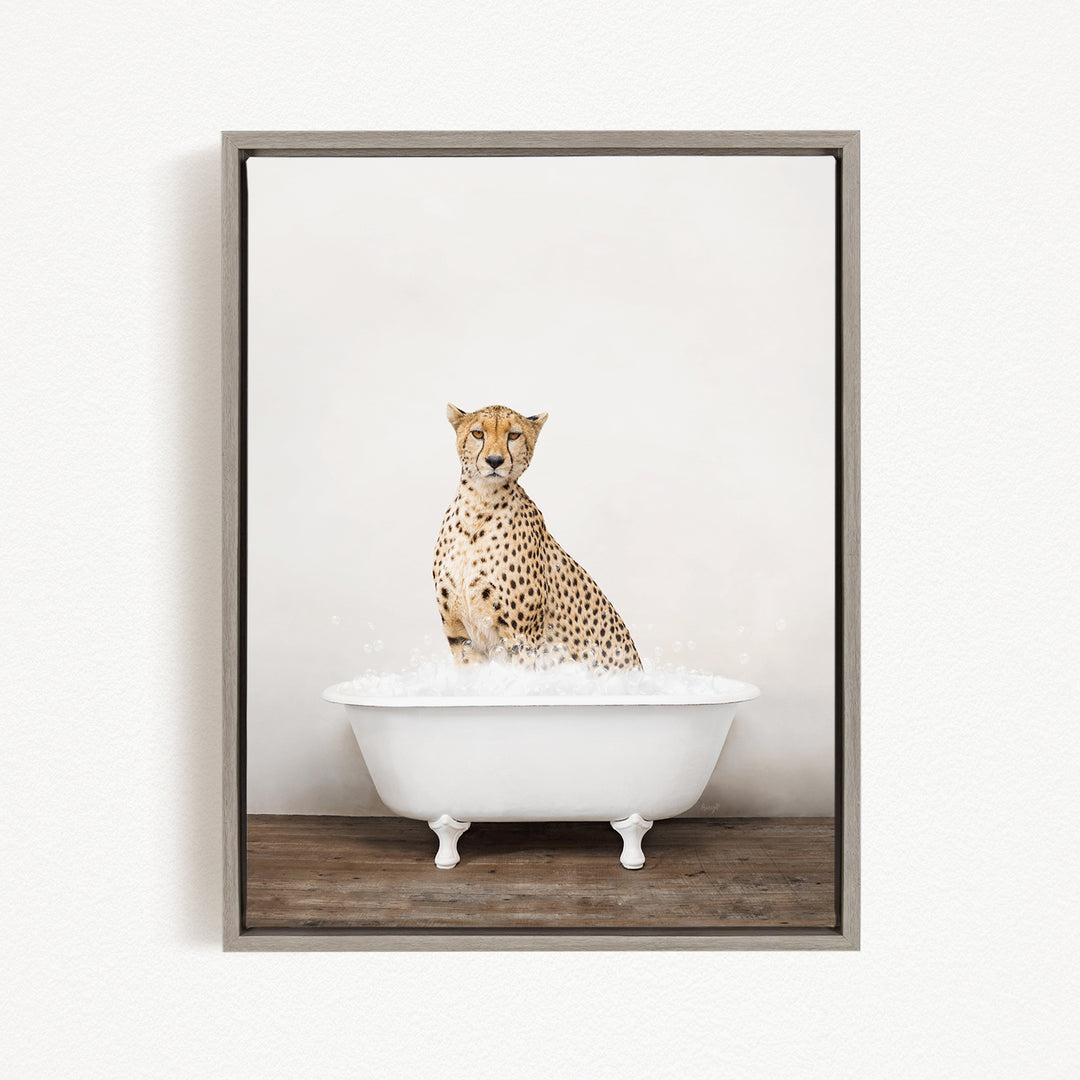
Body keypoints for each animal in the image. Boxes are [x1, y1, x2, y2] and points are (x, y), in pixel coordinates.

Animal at [432, 403, 642, 671]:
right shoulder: (460, 637)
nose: (494, 461)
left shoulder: (522, 639)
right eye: (478, 433)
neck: (480, 504)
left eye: (513, 435)